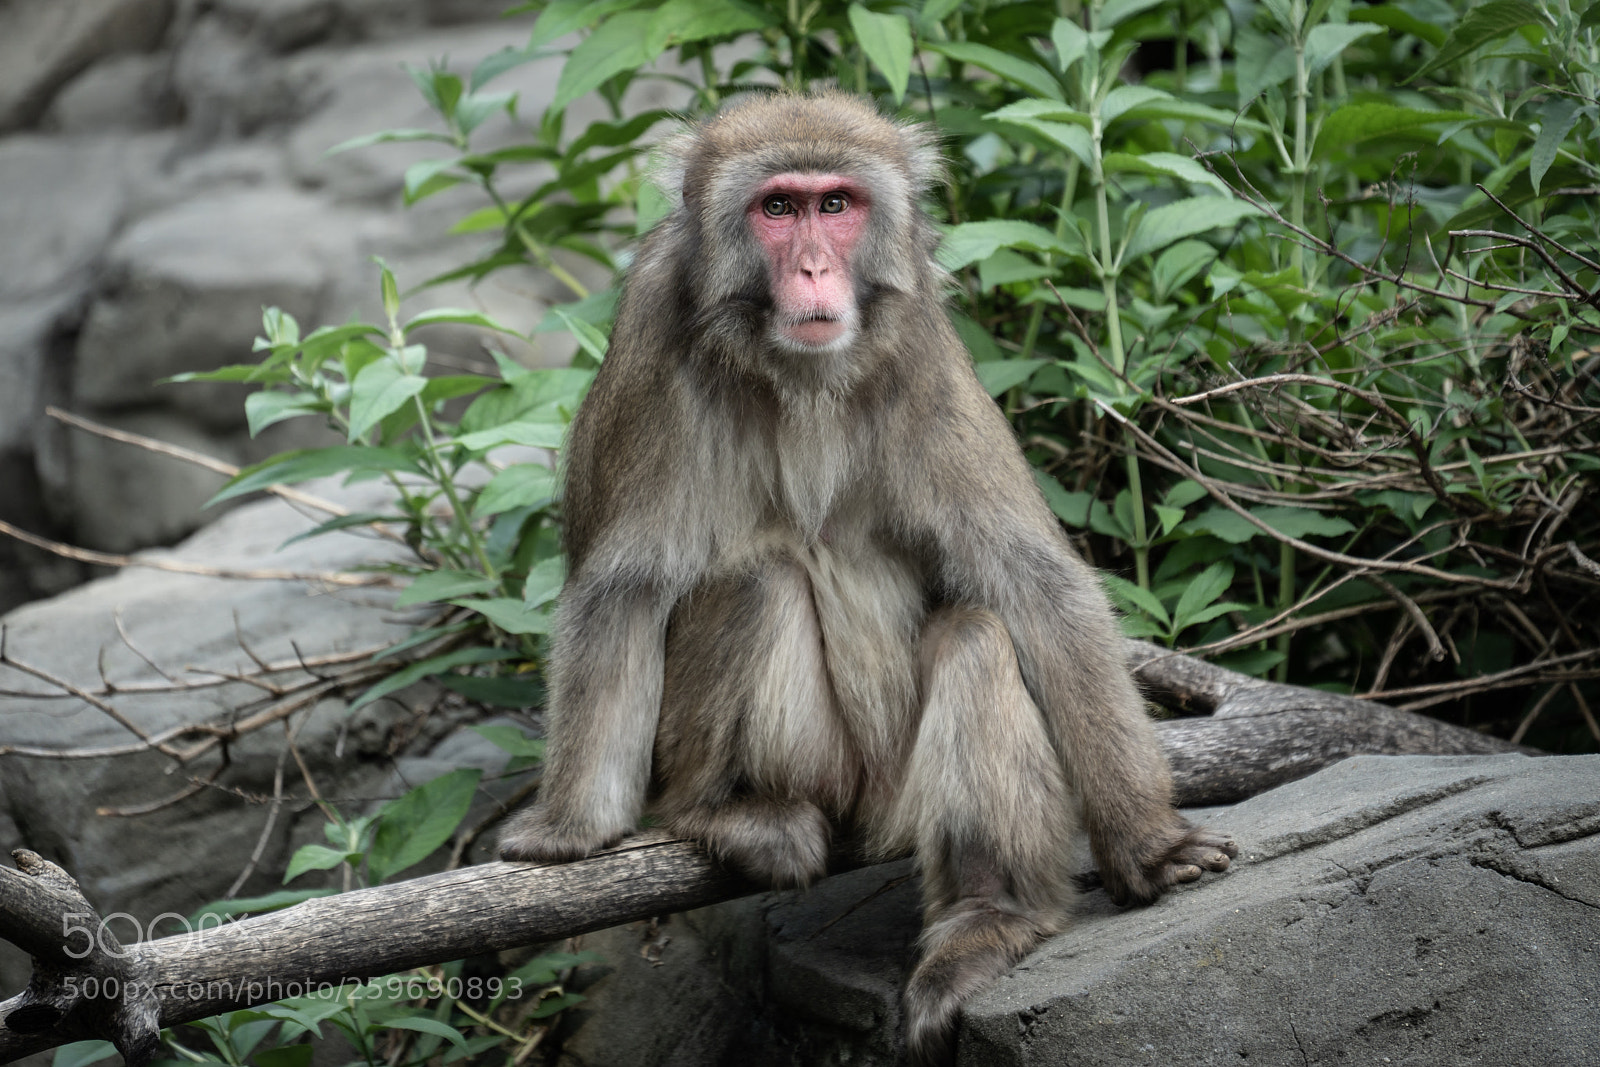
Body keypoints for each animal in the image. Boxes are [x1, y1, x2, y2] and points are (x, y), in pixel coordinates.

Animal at [499, 90, 1237, 1063]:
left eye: (837, 204)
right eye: (778, 208)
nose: (814, 266)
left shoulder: (918, 333)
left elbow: (1032, 581)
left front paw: (1148, 846)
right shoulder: (658, 326)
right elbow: (625, 588)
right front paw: (566, 832)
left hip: (894, 781)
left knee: (977, 636)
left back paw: (988, 918)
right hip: (817, 764)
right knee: (758, 582)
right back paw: (725, 811)